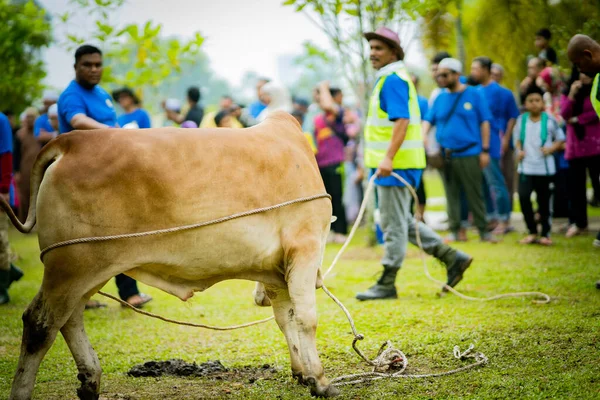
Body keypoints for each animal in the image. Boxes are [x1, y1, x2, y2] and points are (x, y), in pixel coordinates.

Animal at [4, 112, 340, 400]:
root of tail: (68, 142)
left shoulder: (276, 269)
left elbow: (286, 318)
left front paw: (302, 373)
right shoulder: (305, 247)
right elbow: (306, 318)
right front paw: (320, 381)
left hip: (83, 269)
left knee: (69, 319)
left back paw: (90, 380)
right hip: (71, 265)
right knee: (40, 324)